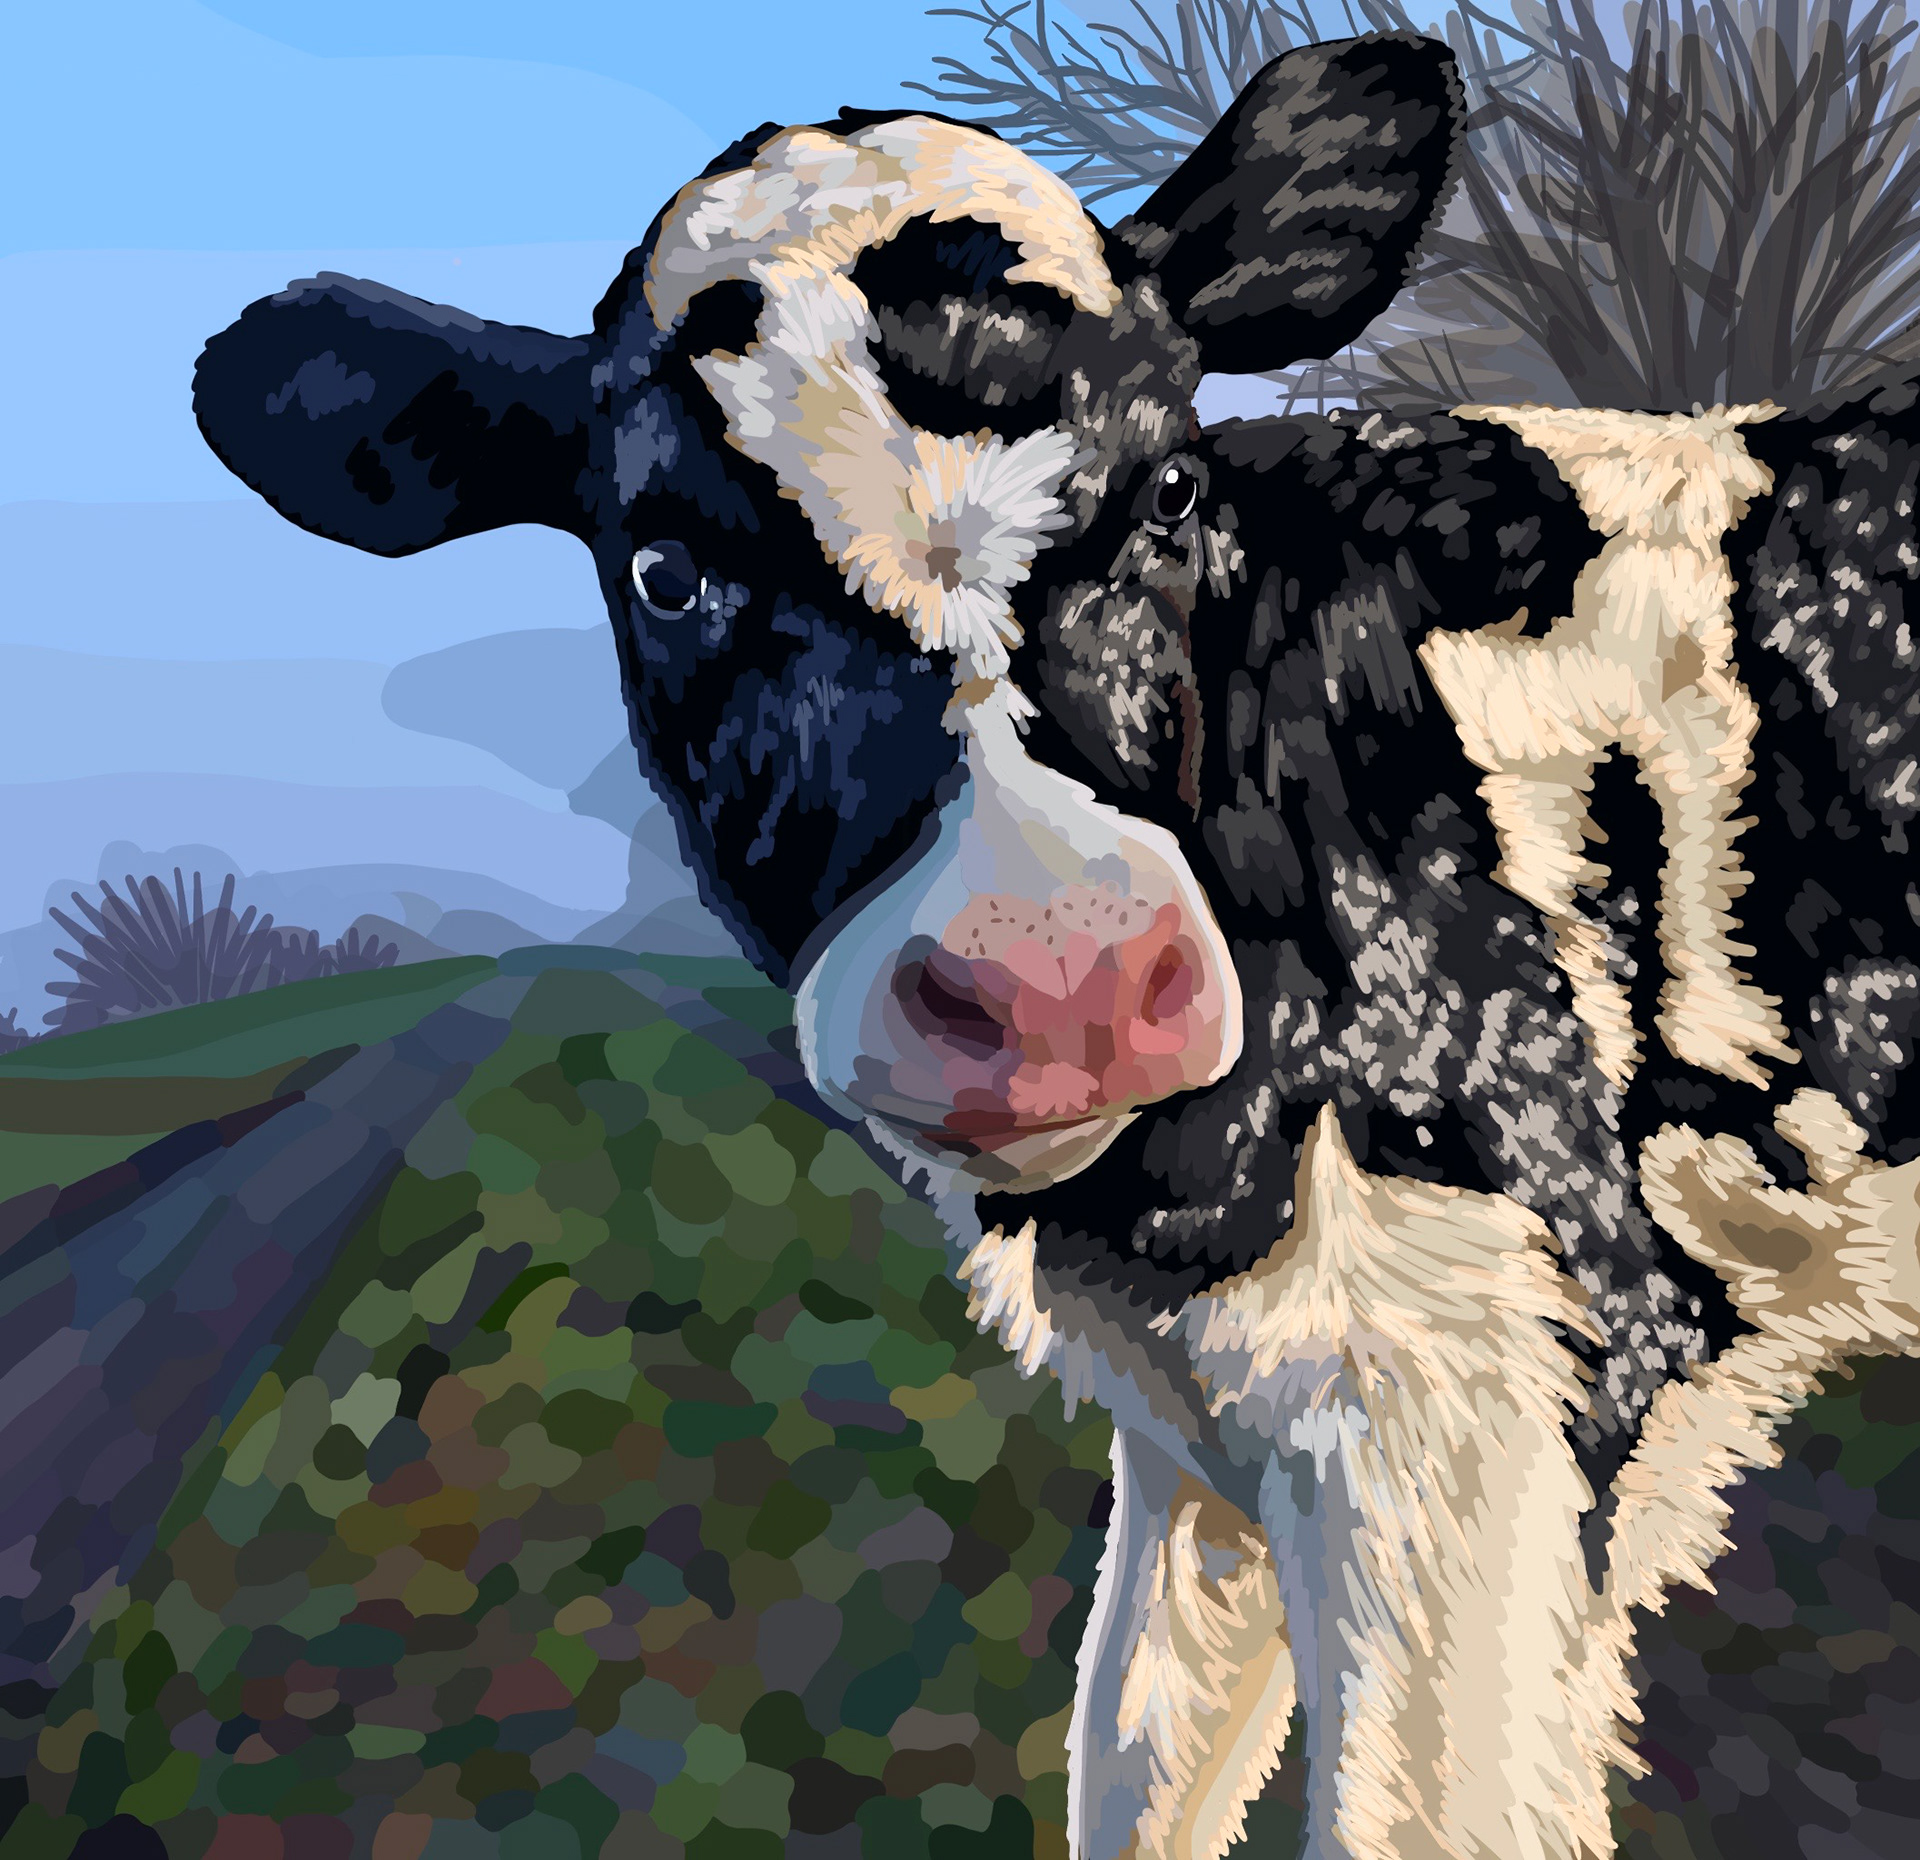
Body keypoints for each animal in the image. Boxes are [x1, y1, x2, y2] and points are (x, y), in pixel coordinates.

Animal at [191, 33, 1920, 1859]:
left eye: (1168, 488)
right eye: (665, 571)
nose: (1058, 984)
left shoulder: (1504, 1378)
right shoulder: (1202, 1444)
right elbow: (1138, 1765)